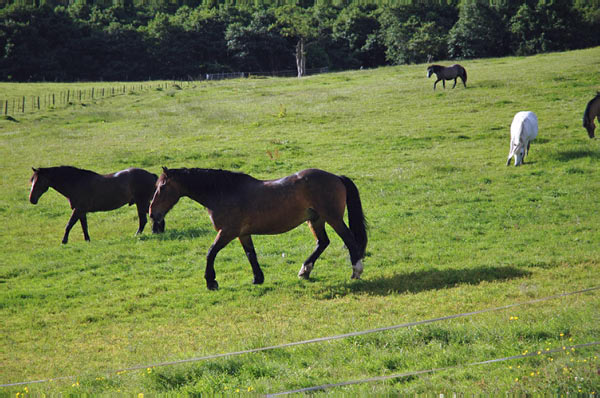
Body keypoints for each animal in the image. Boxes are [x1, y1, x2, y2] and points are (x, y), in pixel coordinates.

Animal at [29, 165, 163, 243]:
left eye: (38, 181)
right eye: (32, 180)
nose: (32, 199)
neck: (76, 183)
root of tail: (151, 175)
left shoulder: (78, 210)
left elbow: (69, 225)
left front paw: (64, 241)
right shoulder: (81, 211)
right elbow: (84, 226)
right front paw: (87, 240)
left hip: (141, 202)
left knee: (144, 219)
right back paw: (157, 231)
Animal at [148, 166, 368, 290]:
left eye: (162, 187)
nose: (152, 213)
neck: (223, 192)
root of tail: (336, 177)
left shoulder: (227, 232)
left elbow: (211, 253)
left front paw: (211, 282)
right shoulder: (243, 234)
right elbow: (250, 254)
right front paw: (258, 278)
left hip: (333, 218)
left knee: (349, 240)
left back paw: (356, 272)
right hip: (315, 220)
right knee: (322, 242)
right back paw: (305, 271)